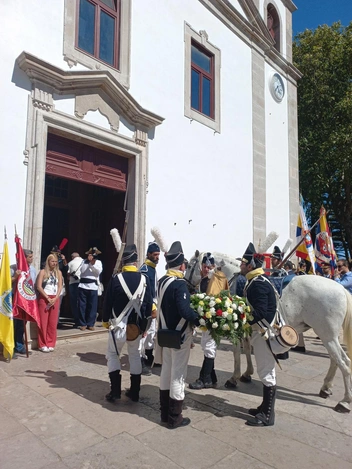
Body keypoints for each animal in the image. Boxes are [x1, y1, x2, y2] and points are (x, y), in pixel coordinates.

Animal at [184, 252, 352, 414]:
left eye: (190, 265)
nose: (187, 285)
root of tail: (341, 289)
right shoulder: (247, 328)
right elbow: (246, 349)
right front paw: (247, 374)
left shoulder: (237, 327)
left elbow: (237, 353)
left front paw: (234, 378)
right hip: (329, 336)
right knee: (335, 360)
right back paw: (326, 388)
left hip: (326, 335)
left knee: (344, 362)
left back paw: (344, 402)